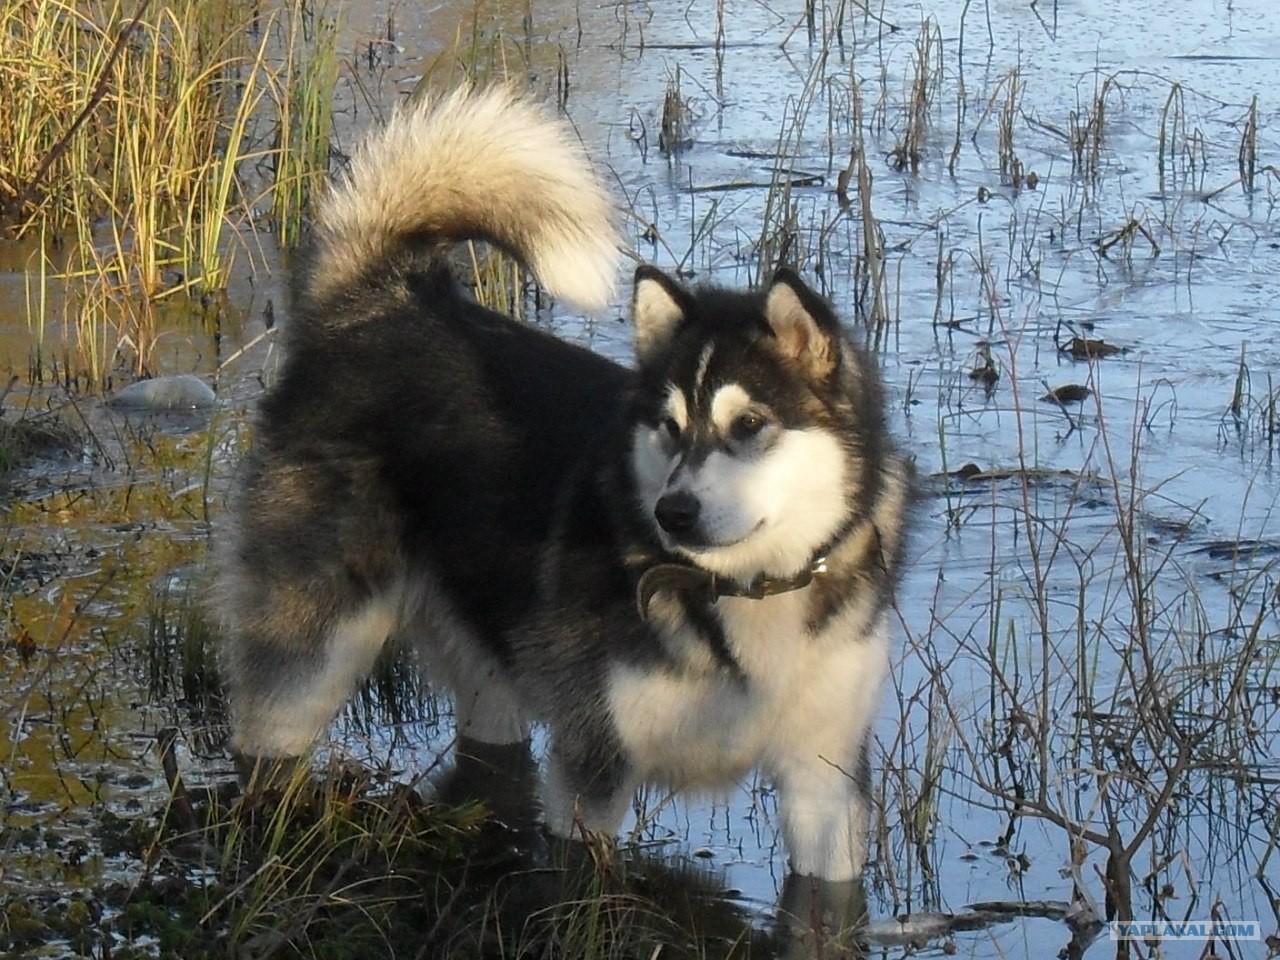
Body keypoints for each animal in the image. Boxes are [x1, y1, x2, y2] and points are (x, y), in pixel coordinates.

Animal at [212, 86, 911, 885]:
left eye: (749, 424)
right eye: (669, 426)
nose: (672, 513)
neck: (743, 591)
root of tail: (381, 302)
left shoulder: (825, 784)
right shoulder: (594, 764)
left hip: (490, 662)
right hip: (309, 653)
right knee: (269, 734)